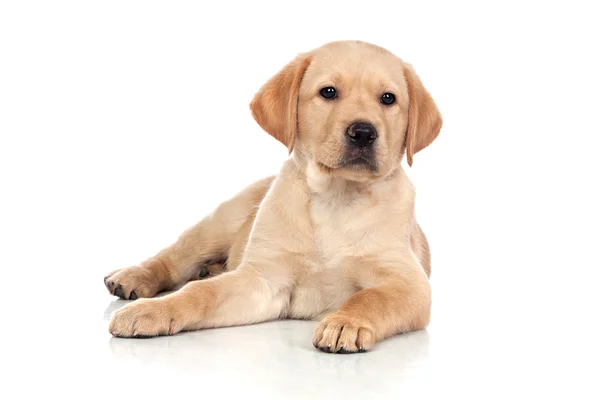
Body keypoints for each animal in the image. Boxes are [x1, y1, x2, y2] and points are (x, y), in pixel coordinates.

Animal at [105, 39, 440, 354]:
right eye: (328, 92)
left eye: (388, 98)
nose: (363, 132)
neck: (337, 199)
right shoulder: (262, 278)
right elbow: (199, 293)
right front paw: (155, 310)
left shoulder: (409, 284)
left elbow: (371, 297)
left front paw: (347, 322)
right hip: (220, 222)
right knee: (174, 258)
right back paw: (132, 278)